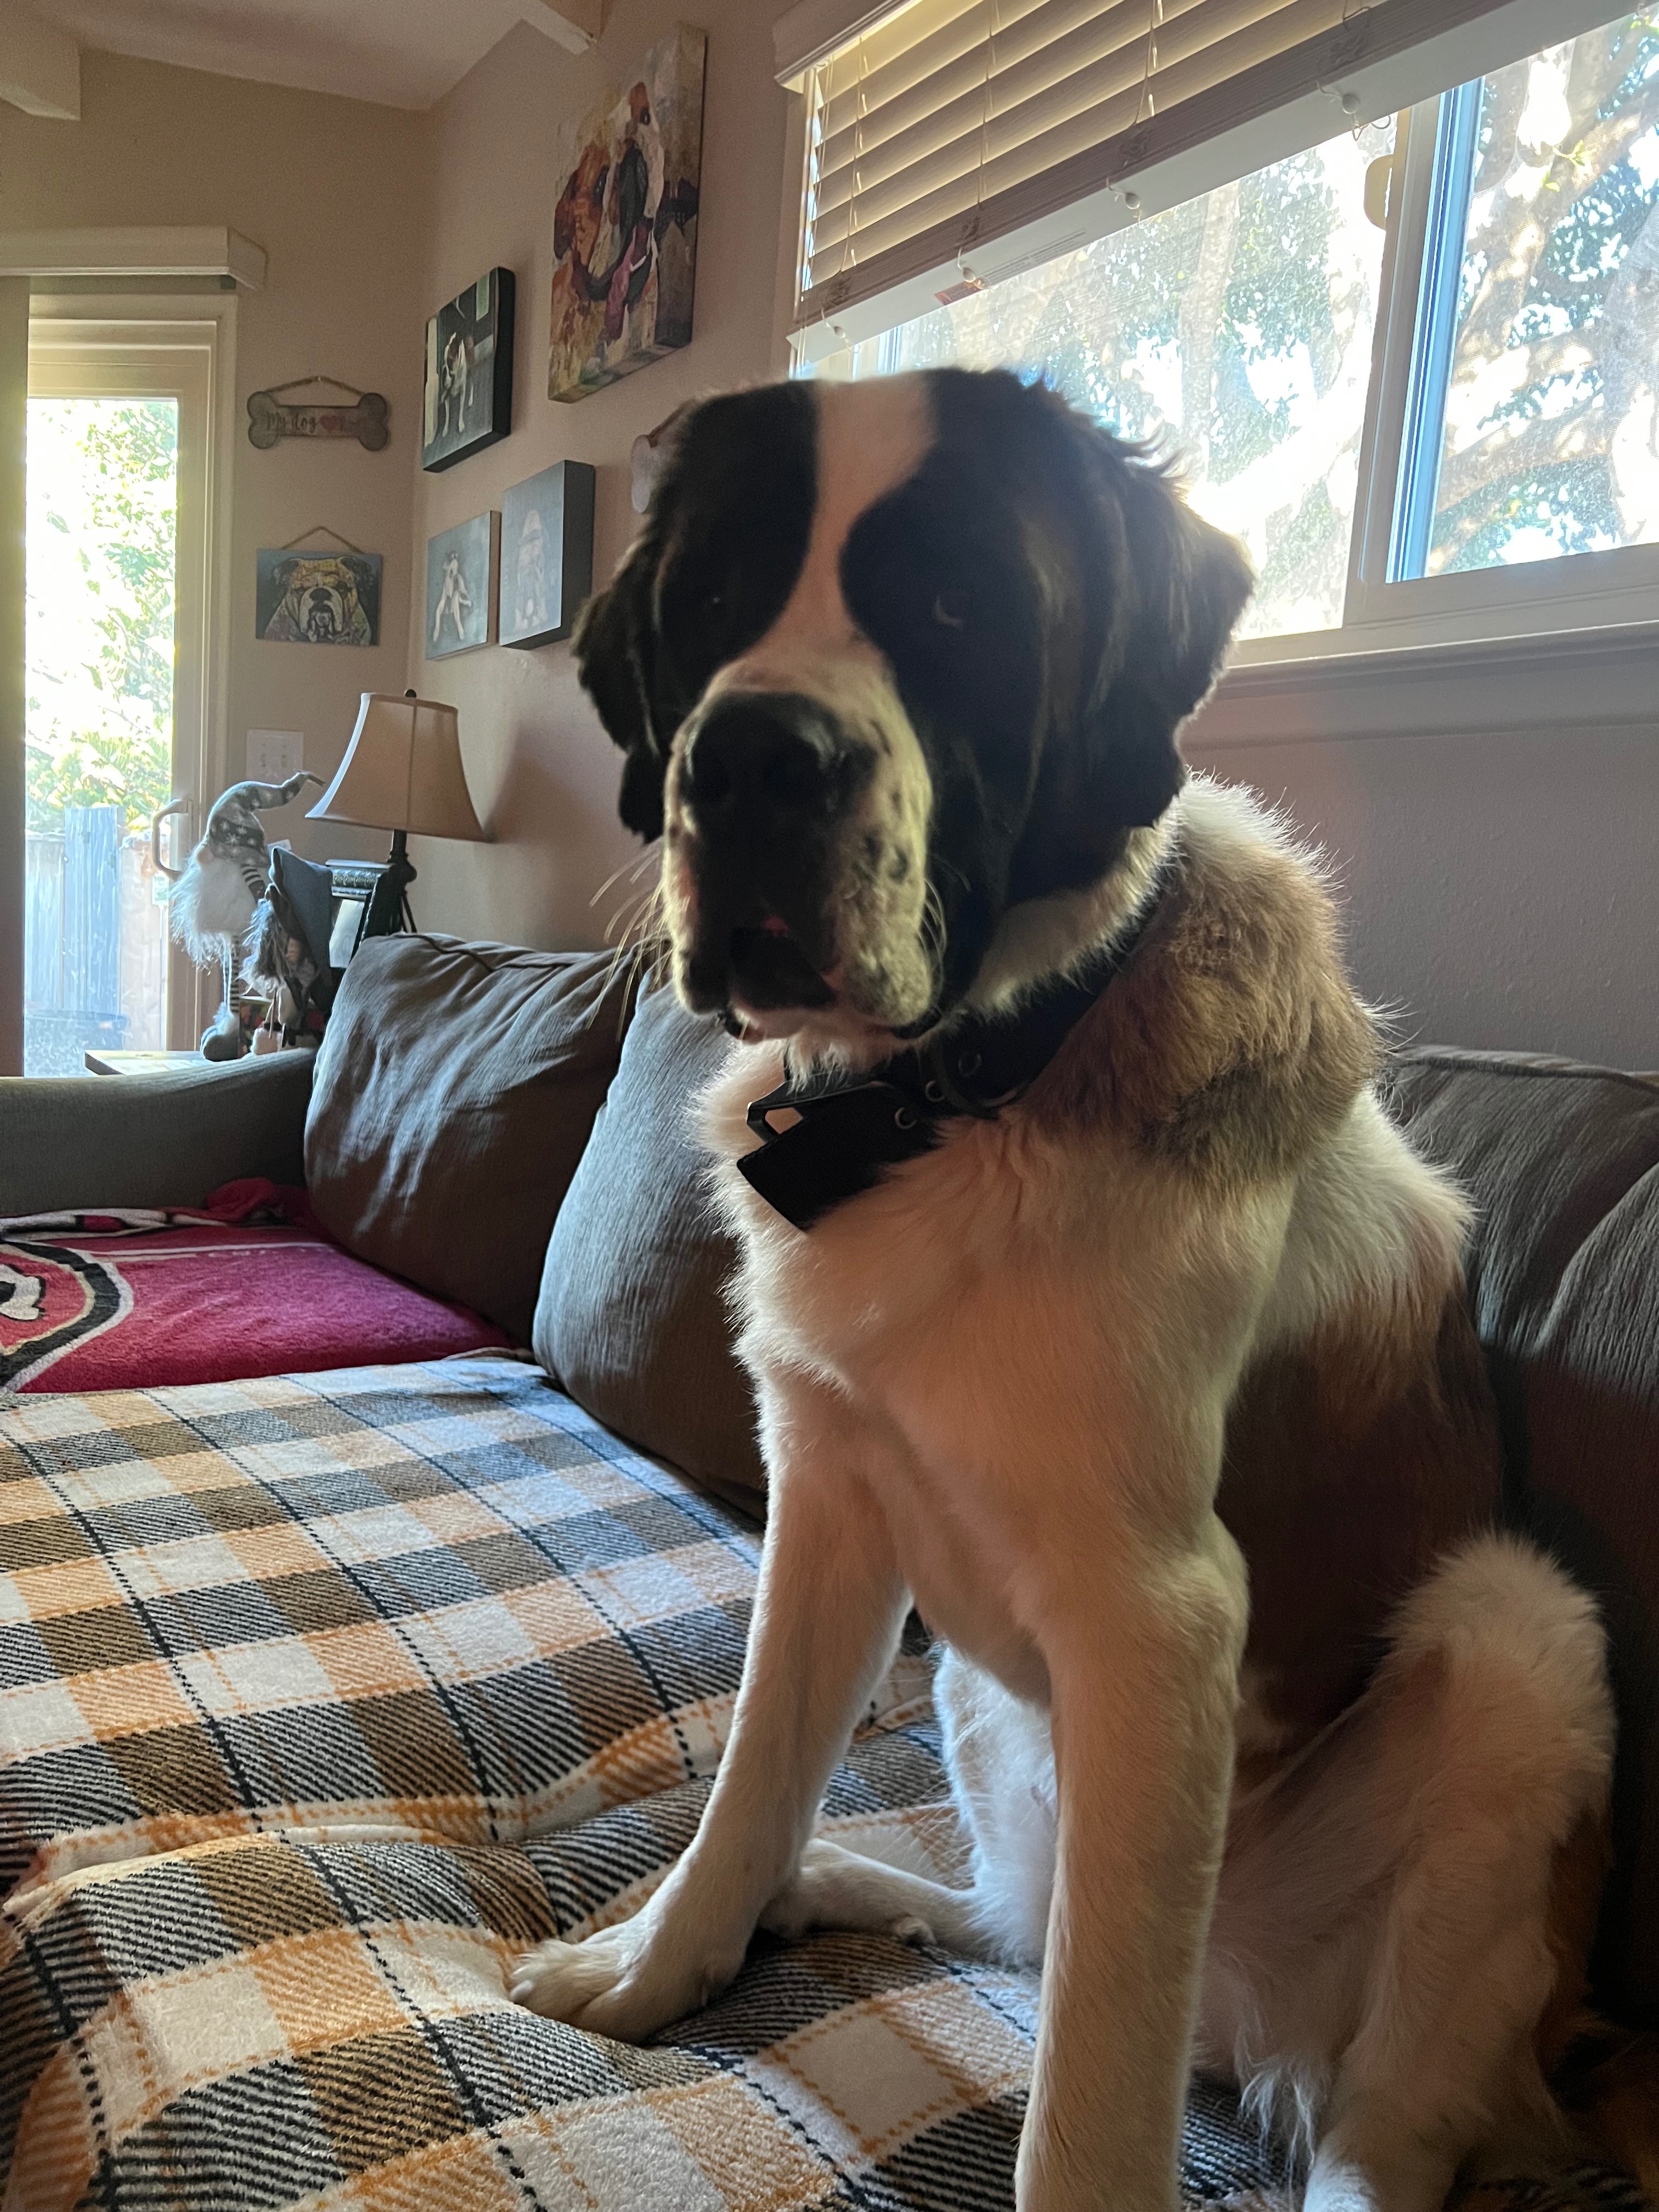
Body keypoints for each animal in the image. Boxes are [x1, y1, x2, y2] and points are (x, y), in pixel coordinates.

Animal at [512, 370, 1653, 2211]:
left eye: (958, 607)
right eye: (711, 599)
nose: (748, 757)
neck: (955, 1096)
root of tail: (1249, 2015)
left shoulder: (1164, 1623)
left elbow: (1092, 2092)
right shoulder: (832, 1506)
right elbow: (756, 1771)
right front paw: (668, 1957)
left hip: (1516, 1651)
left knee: (1363, 2122)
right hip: (984, 1693)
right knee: (1022, 1928)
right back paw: (840, 1889)